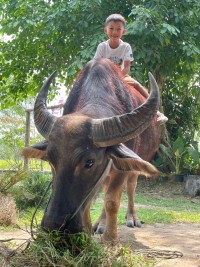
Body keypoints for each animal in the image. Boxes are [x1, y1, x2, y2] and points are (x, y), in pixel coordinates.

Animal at [21, 58, 159, 245]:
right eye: (50, 160)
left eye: (89, 162)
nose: (54, 225)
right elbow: (90, 201)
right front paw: (87, 234)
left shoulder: (120, 169)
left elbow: (112, 201)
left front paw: (111, 240)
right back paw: (100, 223)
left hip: (135, 165)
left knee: (130, 186)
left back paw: (132, 218)